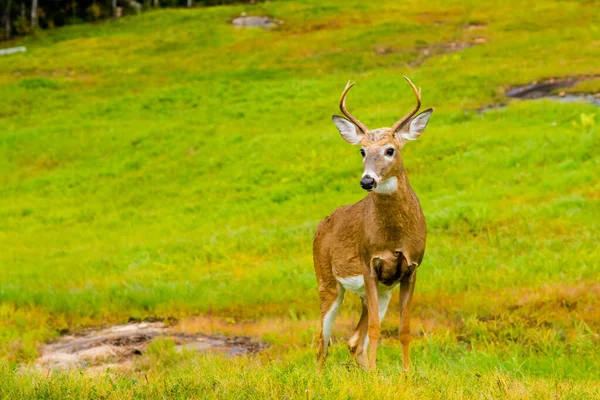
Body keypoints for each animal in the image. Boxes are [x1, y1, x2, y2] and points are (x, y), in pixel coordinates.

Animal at [314, 76, 432, 370]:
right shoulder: (368, 263)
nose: (367, 181)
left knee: (354, 341)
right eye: (362, 151)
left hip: (378, 292)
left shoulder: (412, 268)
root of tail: (320, 226)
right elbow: (377, 329)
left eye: (390, 150)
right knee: (322, 341)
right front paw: (379, 373)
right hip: (326, 279)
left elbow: (403, 328)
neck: (394, 236)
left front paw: (406, 373)